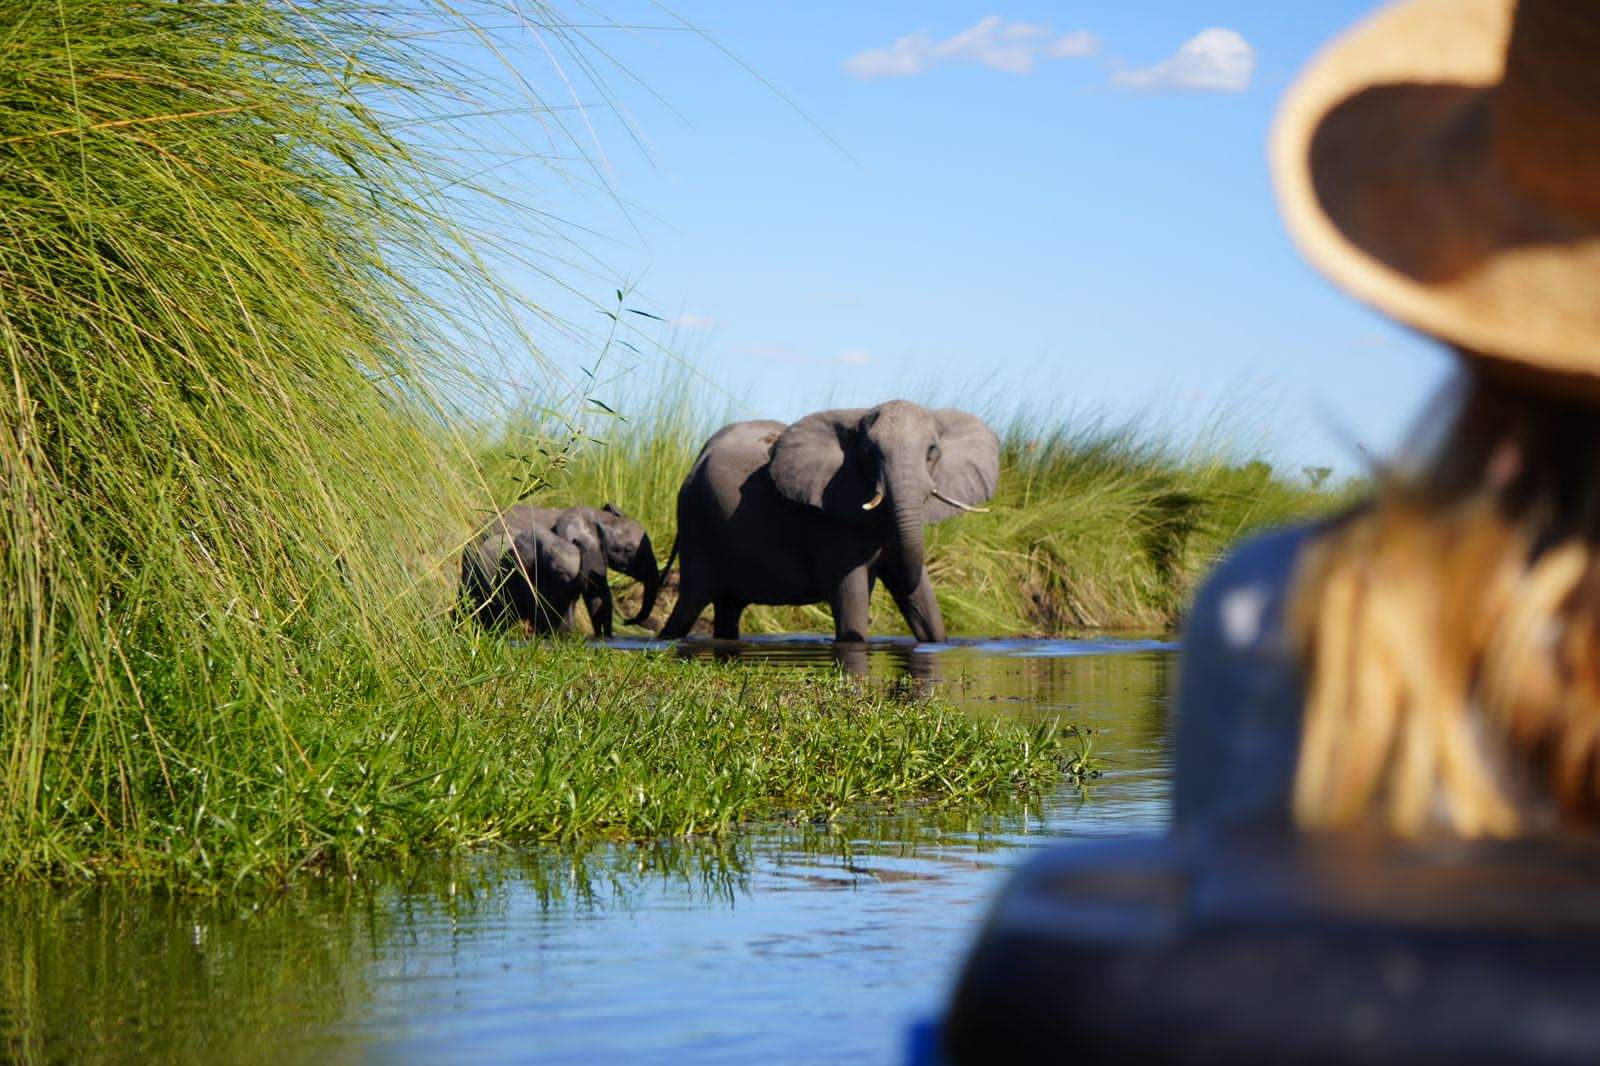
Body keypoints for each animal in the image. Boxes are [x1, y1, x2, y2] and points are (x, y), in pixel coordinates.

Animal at [656, 398, 992, 640]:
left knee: (728, 609)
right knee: (689, 605)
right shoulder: (833, 524)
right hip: (696, 522)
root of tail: (699, 456)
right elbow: (851, 608)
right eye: (870, 454)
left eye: (932, 451)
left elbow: (925, 610)